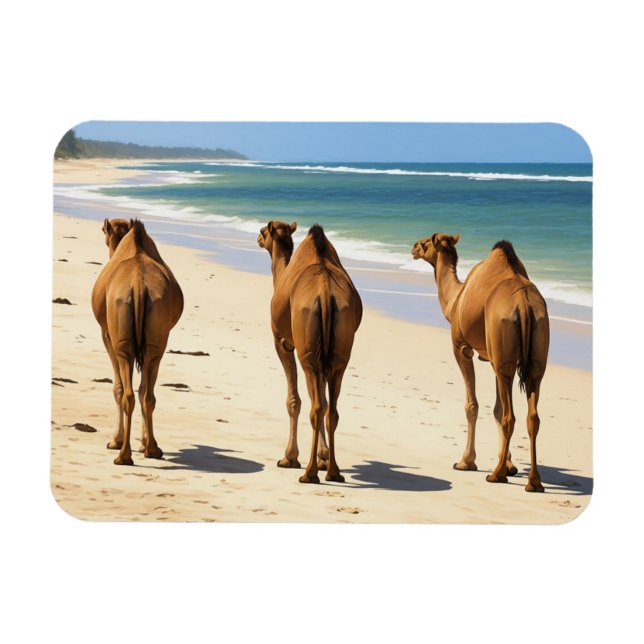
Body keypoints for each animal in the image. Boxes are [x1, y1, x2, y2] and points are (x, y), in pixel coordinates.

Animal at [91, 218, 184, 465]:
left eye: (103, 230)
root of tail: (139, 286)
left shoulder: (106, 334)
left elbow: (117, 388)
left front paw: (114, 440)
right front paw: (142, 444)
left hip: (122, 341)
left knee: (129, 392)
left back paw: (124, 454)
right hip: (157, 340)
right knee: (146, 394)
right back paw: (151, 449)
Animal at [258, 221, 362, 483]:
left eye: (264, 231)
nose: (257, 236)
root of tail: (325, 293)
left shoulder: (282, 341)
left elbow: (293, 400)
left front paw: (289, 458)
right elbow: (323, 401)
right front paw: (323, 457)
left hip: (308, 355)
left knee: (316, 407)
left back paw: (309, 473)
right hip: (339, 353)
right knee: (330, 409)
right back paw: (333, 472)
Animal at [412, 234, 549, 492]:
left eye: (425, 243)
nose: (413, 247)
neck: (455, 301)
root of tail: (524, 305)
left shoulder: (462, 348)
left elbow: (473, 406)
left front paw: (466, 461)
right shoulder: (493, 357)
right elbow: (496, 408)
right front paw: (510, 464)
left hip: (505, 358)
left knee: (510, 416)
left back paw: (496, 475)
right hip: (534, 357)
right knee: (532, 417)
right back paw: (533, 482)